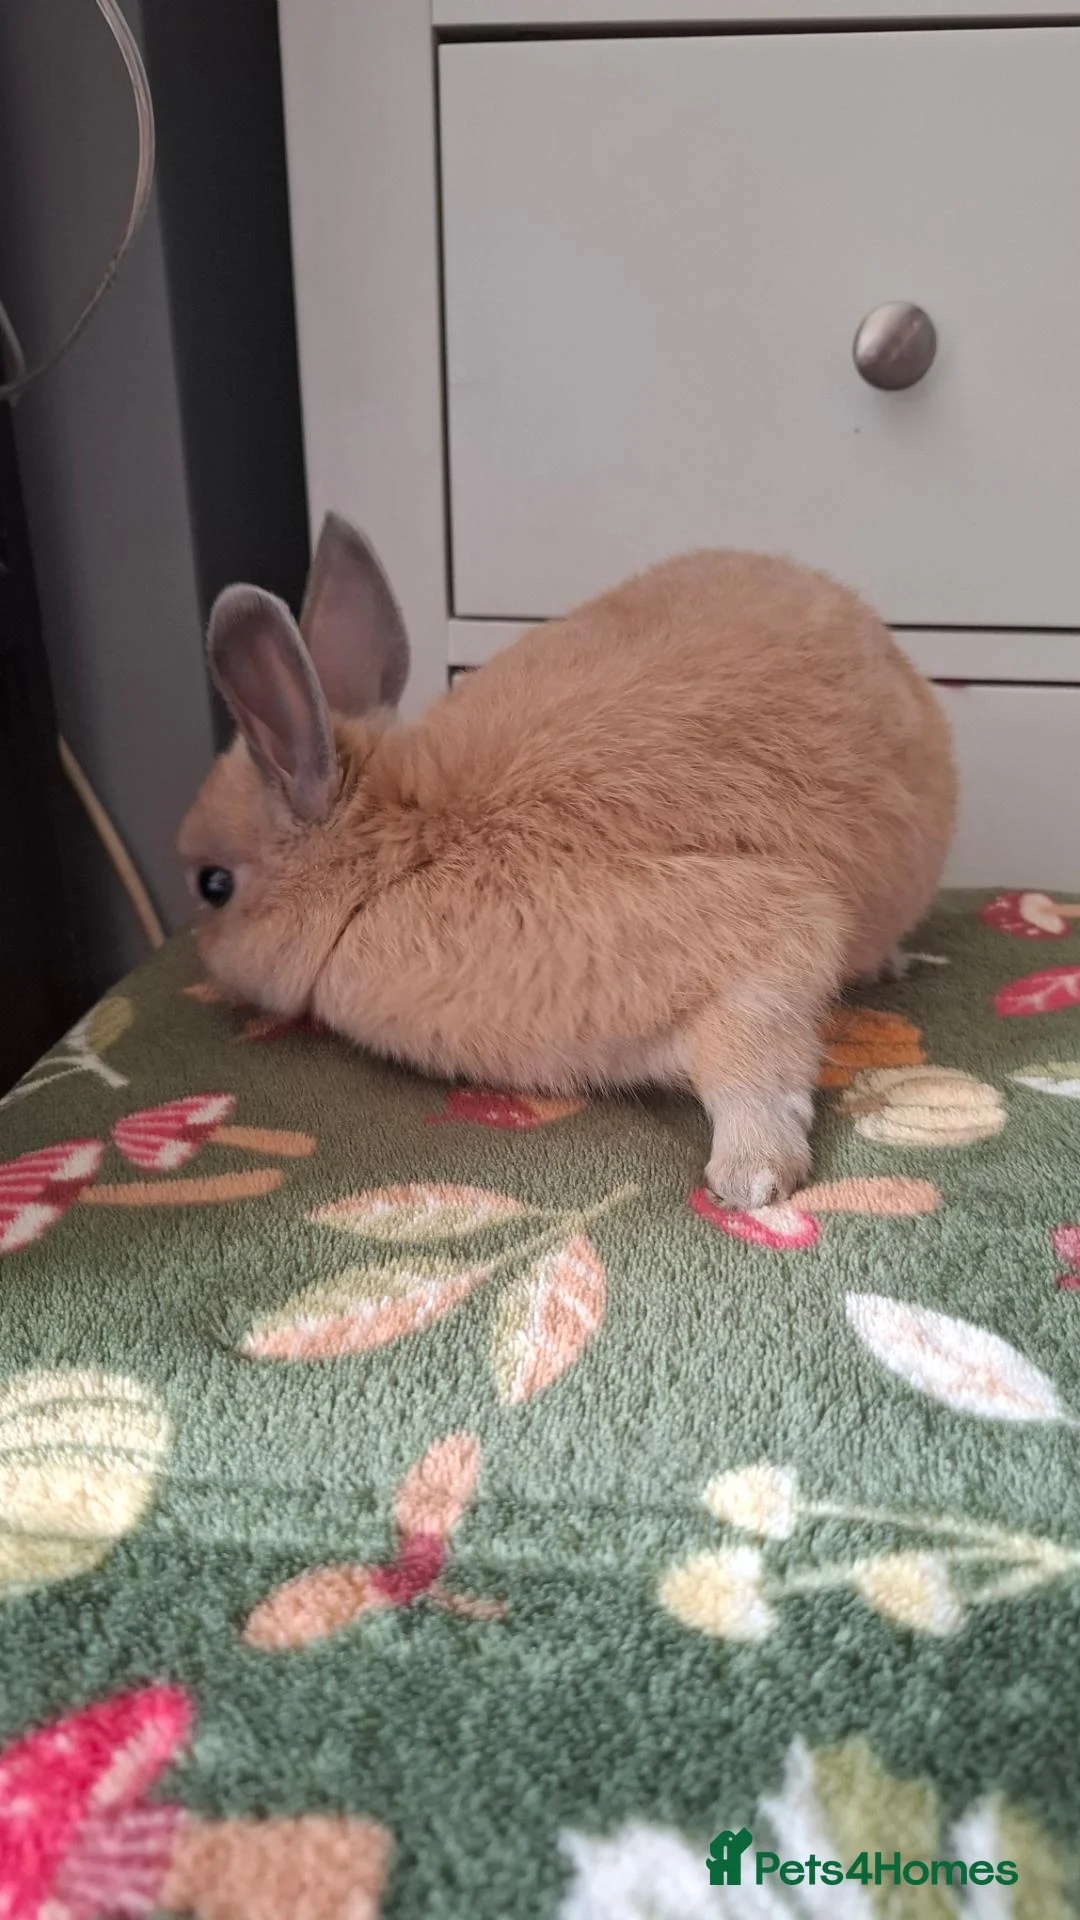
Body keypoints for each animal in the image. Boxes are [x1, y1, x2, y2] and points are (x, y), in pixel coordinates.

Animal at [178, 515, 956, 1207]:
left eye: (212, 885)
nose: (199, 958)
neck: (397, 848)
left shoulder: (759, 934)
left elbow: (753, 1064)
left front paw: (752, 1178)